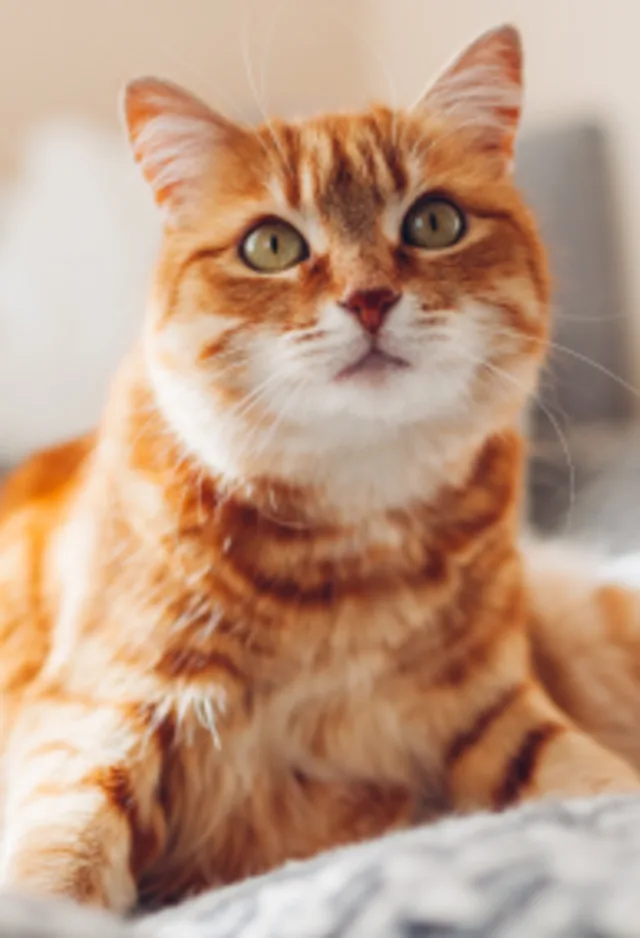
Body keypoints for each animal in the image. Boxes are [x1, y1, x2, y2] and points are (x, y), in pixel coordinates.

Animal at [1, 25, 640, 912]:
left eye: (434, 221)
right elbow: (58, 862)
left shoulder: (500, 713)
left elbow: (598, 783)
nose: (370, 298)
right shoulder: (96, 714)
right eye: (272, 245)